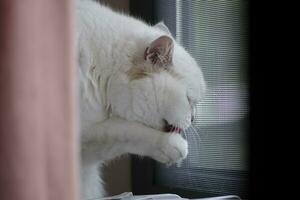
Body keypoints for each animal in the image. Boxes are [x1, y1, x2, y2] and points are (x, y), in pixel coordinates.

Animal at [75, 0, 206, 199]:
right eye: (189, 100)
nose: (193, 119)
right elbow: (132, 130)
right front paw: (176, 147)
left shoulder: (86, 138)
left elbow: (120, 133)